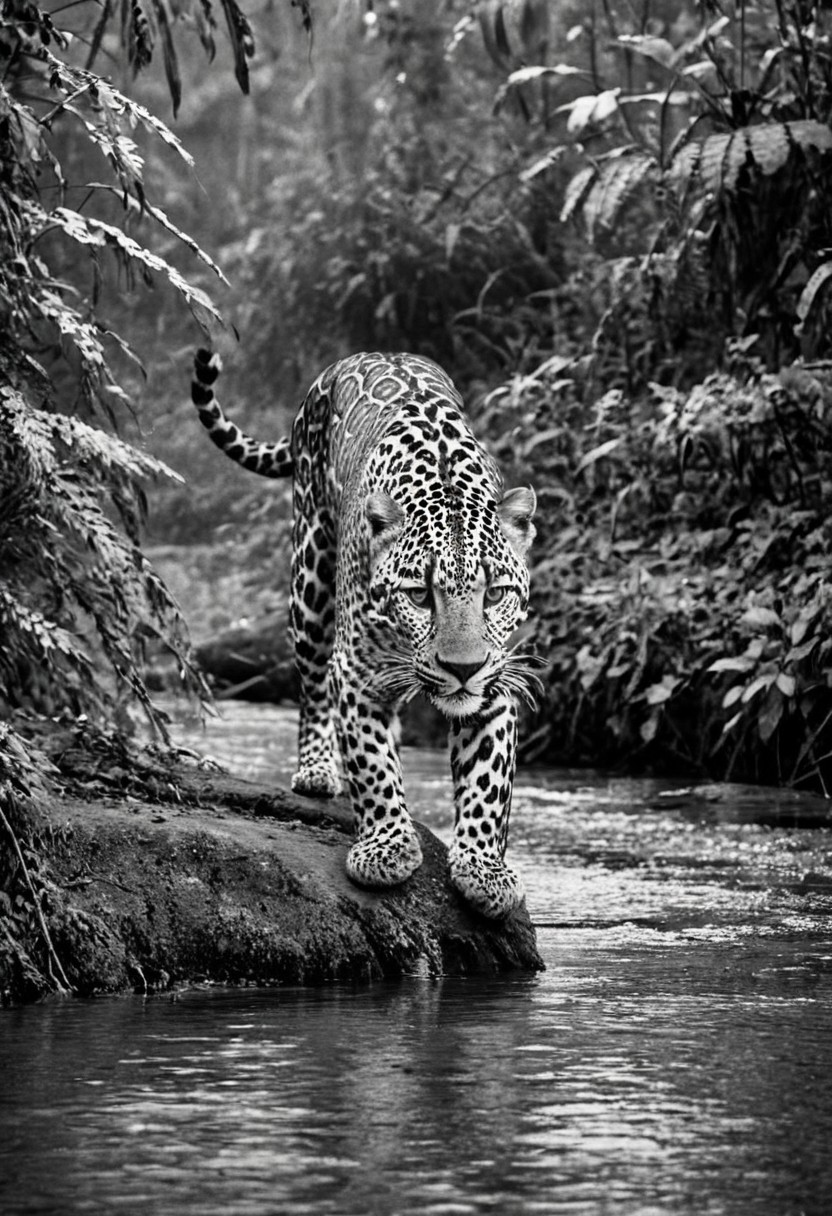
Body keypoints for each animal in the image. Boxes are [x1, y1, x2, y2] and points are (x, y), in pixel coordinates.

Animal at [190, 349, 537, 919]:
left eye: (495, 594)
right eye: (419, 595)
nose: (462, 669)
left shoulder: (495, 685)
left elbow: (488, 782)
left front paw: (485, 869)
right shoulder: (355, 674)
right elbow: (371, 766)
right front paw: (387, 847)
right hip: (309, 580)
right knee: (311, 686)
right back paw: (315, 770)